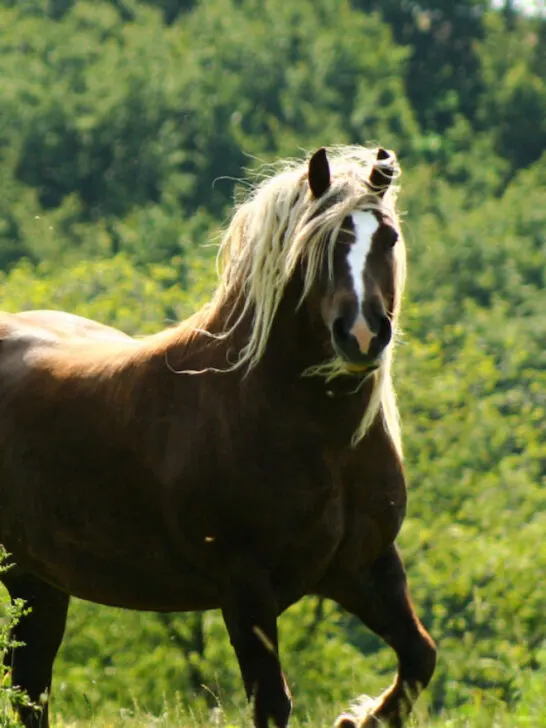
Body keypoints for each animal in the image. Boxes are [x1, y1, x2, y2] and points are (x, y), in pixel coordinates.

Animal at [0, 145, 436, 728]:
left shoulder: (364, 566)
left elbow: (419, 656)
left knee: (31, 687)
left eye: (386, 237)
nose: (362, 334)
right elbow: (271, 701)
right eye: (319, 244)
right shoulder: (244, 585)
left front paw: (359, 716)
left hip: (36, 581)